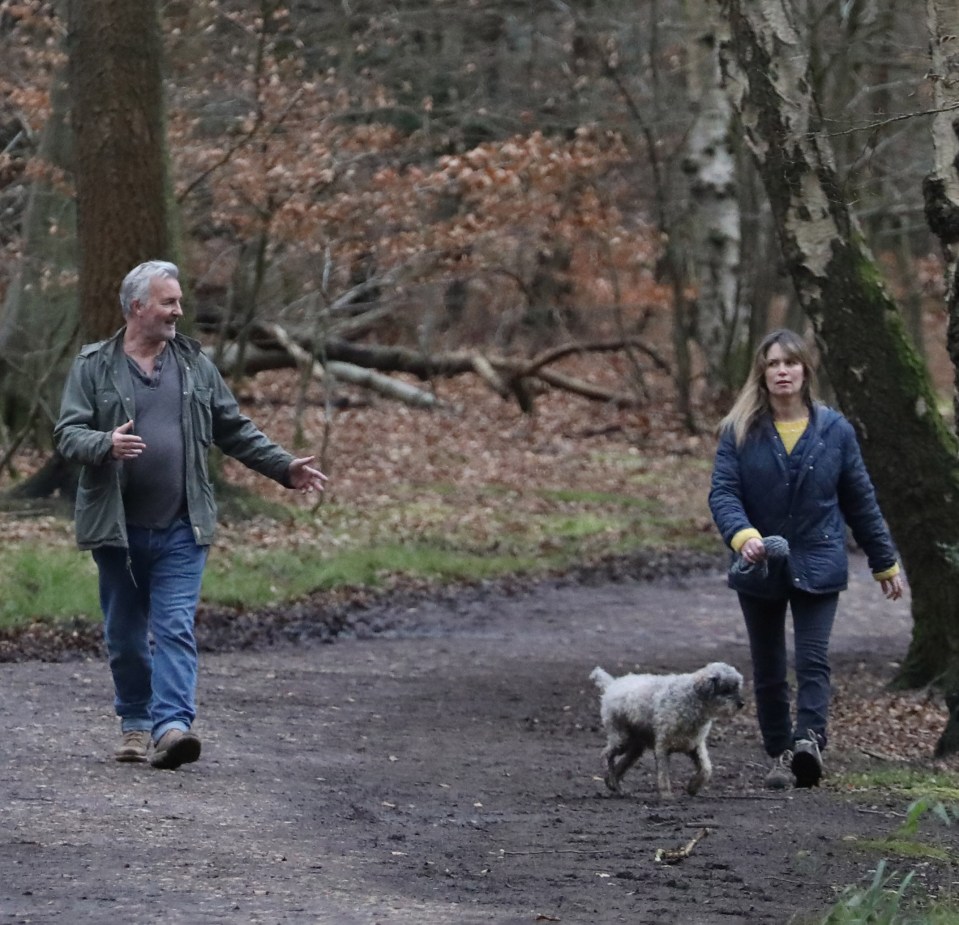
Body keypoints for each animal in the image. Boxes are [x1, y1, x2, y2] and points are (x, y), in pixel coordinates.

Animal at [588, 660, 748, 796]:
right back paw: (612, 780)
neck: (692, 700)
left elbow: (706, 769)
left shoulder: (695, 745)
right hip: (623, 739)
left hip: (636, 747)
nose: (741, 704)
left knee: (620, 765)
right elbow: (663, 775)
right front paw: (666, 796)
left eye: (737, 687)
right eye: (726, 690)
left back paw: (615, 785)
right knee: (606, 755)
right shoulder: (662, 746)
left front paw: (693, 787)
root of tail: (612, 685)